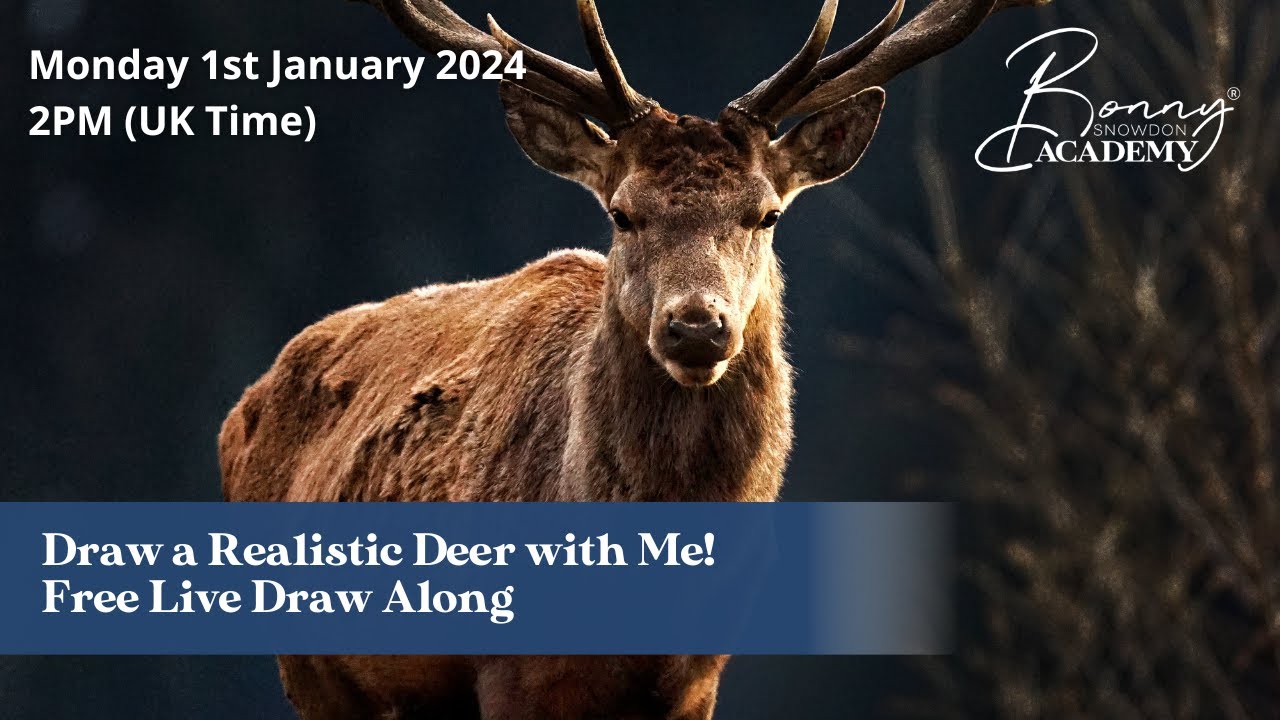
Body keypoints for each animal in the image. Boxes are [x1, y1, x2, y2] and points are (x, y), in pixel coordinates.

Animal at [219, 0, 1048, 717]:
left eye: (766, 213)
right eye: (622, 212)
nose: (696, 327)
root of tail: (244, 405)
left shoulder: (697, 681)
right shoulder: (513, 674)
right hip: (315, 673)